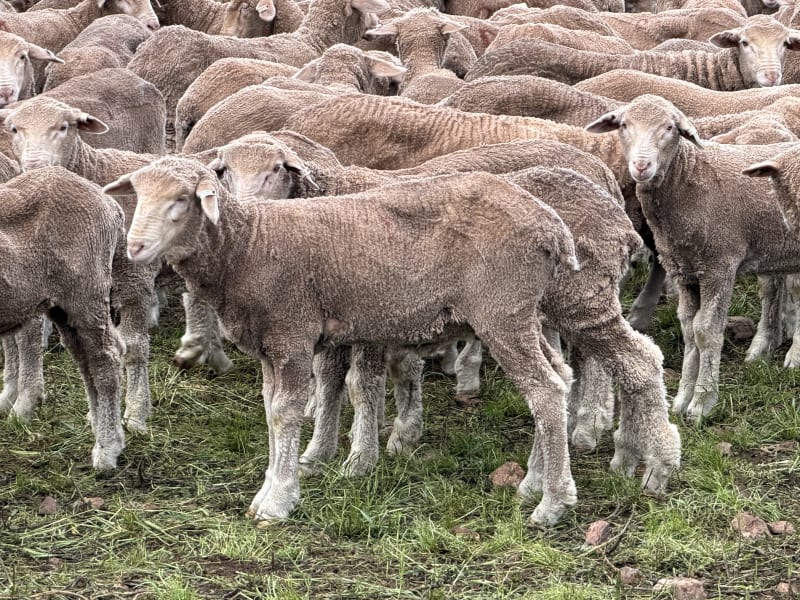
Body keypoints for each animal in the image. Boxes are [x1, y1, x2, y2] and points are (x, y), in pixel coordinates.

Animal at [0, 166, 125, 469]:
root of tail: (108, 203)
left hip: (87, 292)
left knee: (106, 362)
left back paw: (107, 448)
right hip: (62, 306)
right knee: (86, 361)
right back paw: (102, 426)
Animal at [107, 156, 580, 526]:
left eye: (180, 199)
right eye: (138, 195)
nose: (134, 247)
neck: (248, 245)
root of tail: (552, 225)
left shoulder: (291, 334)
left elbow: (285, 414)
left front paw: (279, 501)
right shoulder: (270, 344)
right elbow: (271, 410)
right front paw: (273, 488)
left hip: (501, 311)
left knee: (543, 391)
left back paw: (552, 504)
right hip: (524, 312)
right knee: (560, 378)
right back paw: (535, 482)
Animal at [586, 94, 800, 419]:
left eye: (670, 128)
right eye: (623, 125)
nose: (641, 165)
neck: (688, 176)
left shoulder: (719, 267)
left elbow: (706, 331)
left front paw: (702, 402)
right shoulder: (684, 271)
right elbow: (689, 330)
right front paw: (682, 399)